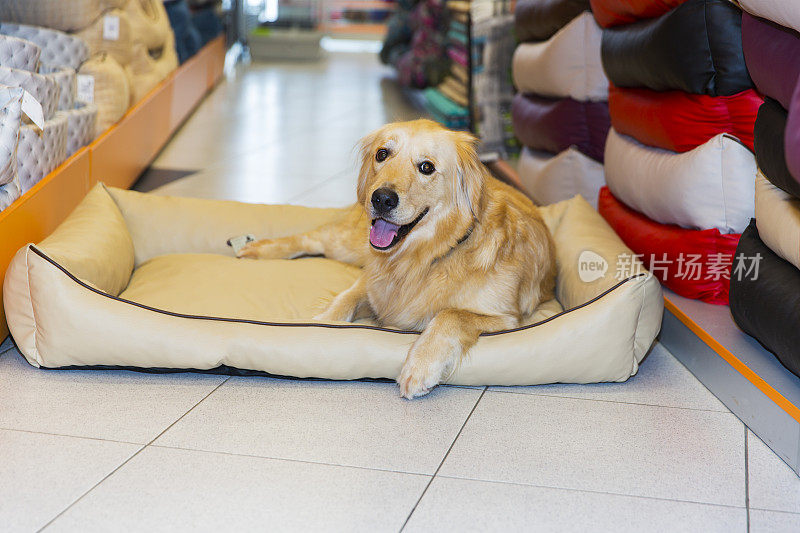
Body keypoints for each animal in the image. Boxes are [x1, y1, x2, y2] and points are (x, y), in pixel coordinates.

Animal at [234, 118, 552, 396]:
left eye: (426, 167)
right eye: (382, 154)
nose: (382, 198)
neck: (425, 257)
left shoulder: (507, 320)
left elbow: (450, 315)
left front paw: (420, 367)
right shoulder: (371, 282)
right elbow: (344, 300)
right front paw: (318, 324)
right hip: (350, 244)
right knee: (311, 237)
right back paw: (257, 248)